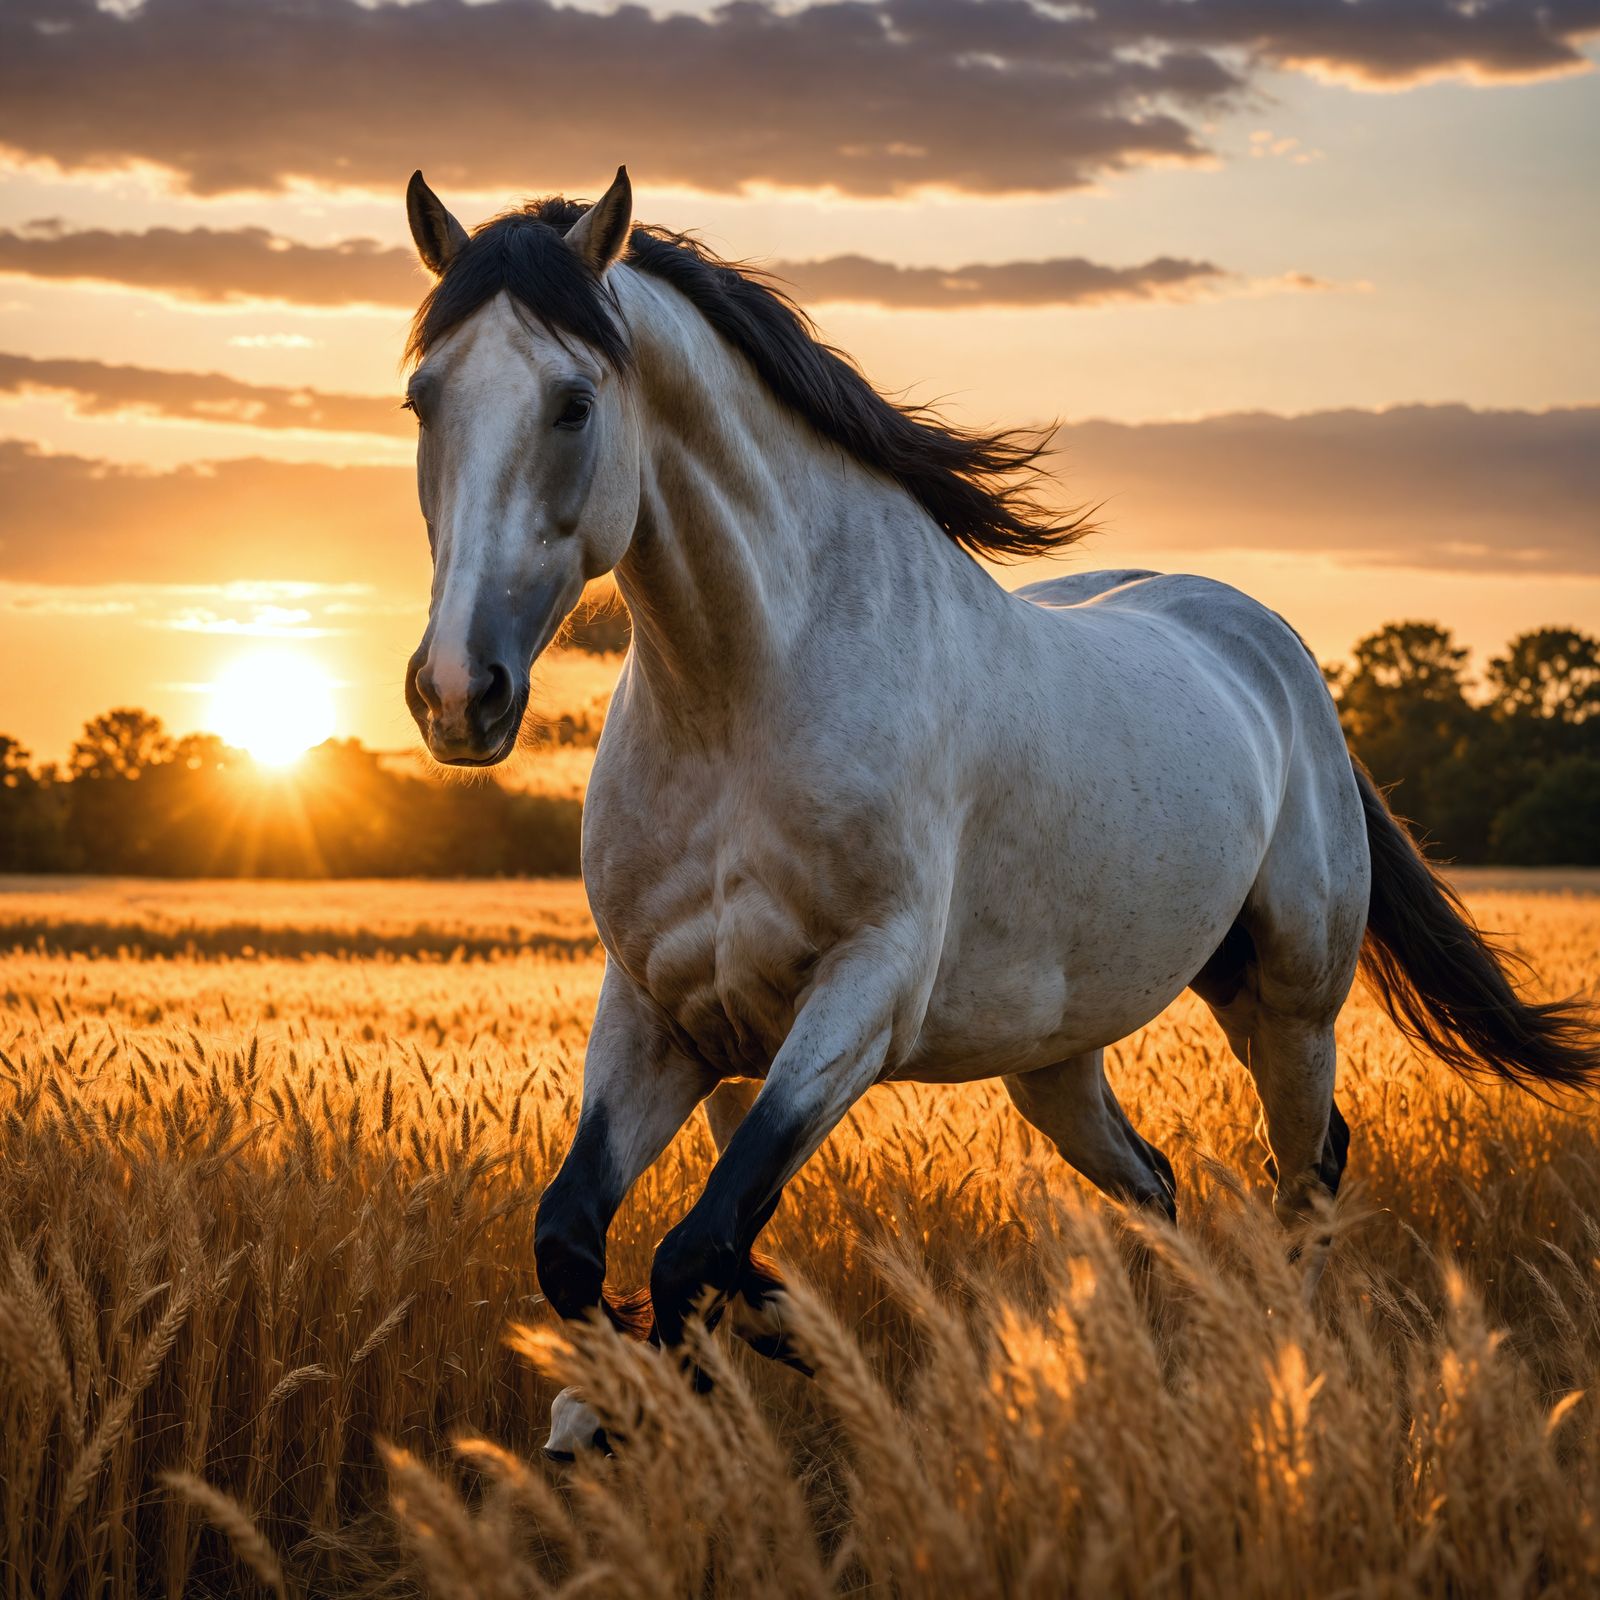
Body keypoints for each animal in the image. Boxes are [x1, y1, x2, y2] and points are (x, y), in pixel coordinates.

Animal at [398, 166, 1598, 1458]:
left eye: (573, 404)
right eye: (422, 398)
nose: (459, 693)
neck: (746, 692)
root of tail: (1273, 644)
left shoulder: (863, 998)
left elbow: (694, 1249)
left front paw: (693, 1389)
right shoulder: (660, 1010)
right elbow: (579, 1241)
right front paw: (634, 1391)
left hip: (1289, 1002)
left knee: (1308, 1172)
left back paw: (1285, 1384)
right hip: (1056, 1056)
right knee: (1156, 1184)